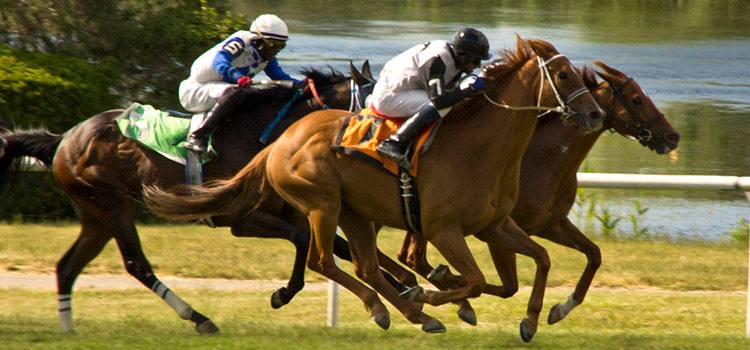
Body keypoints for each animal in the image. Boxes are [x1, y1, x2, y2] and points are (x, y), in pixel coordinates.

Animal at [0, 64, 400, 334]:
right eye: (371, 101)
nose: (387, 143)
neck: (261, 133)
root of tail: (64, 139)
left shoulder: (294, 209)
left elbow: (343, 248)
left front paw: (404, 287)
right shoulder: (241, 220)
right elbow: (306, 241)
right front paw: (283, 294)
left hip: (95, 214)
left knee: (67, 267)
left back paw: (68, 327)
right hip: (114, 206)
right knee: (136, 264)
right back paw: (199, 318)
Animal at [144, 35, 608, 340]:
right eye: (563, 74)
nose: (595, 114)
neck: (481, 146)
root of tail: (281, 141)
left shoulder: (495, 225)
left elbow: (542, 258)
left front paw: (534, 318)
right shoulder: (444, 229)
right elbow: (474, 279)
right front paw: (436, 294)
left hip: (356, 213)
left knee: (364, 265)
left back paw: (412, 314)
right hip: (323, 205)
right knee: (322, 260)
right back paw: (397, 309)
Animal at [396, 60, 684, 326]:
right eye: (636, 99)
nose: (673, 136)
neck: (544, 160)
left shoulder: (550, 223)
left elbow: (593, 254)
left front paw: (561, 308)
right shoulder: (494, 230)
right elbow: (508, 285)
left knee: (409, 256)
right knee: (412, 256)